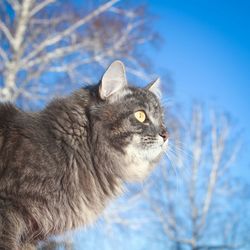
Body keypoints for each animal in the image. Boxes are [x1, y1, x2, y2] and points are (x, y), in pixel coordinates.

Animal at [0, 61, 169, 250]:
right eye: (141, 115)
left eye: (162, 121)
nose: (166, 134)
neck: (71, 148)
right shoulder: (8, 211)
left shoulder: (30, 236)